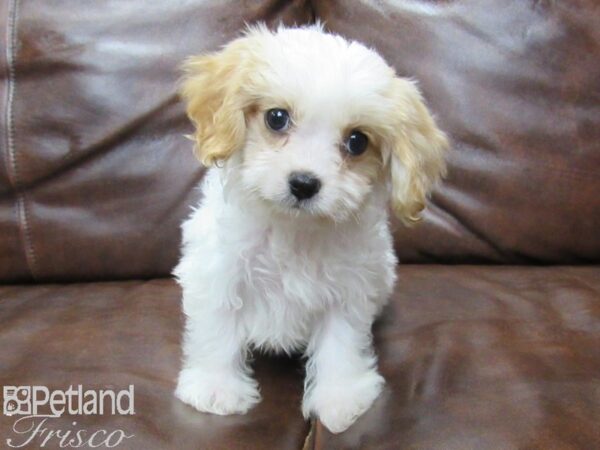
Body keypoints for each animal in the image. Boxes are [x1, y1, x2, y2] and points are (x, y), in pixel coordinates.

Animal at [173, 23, 446, 432]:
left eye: (357, 141)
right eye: (276, 118)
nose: (304, 183)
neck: (294, 230)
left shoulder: (349, 289)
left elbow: (340, 343)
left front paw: (341, 397)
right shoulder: (218, 271)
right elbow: (217, 329)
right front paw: (215, 389)